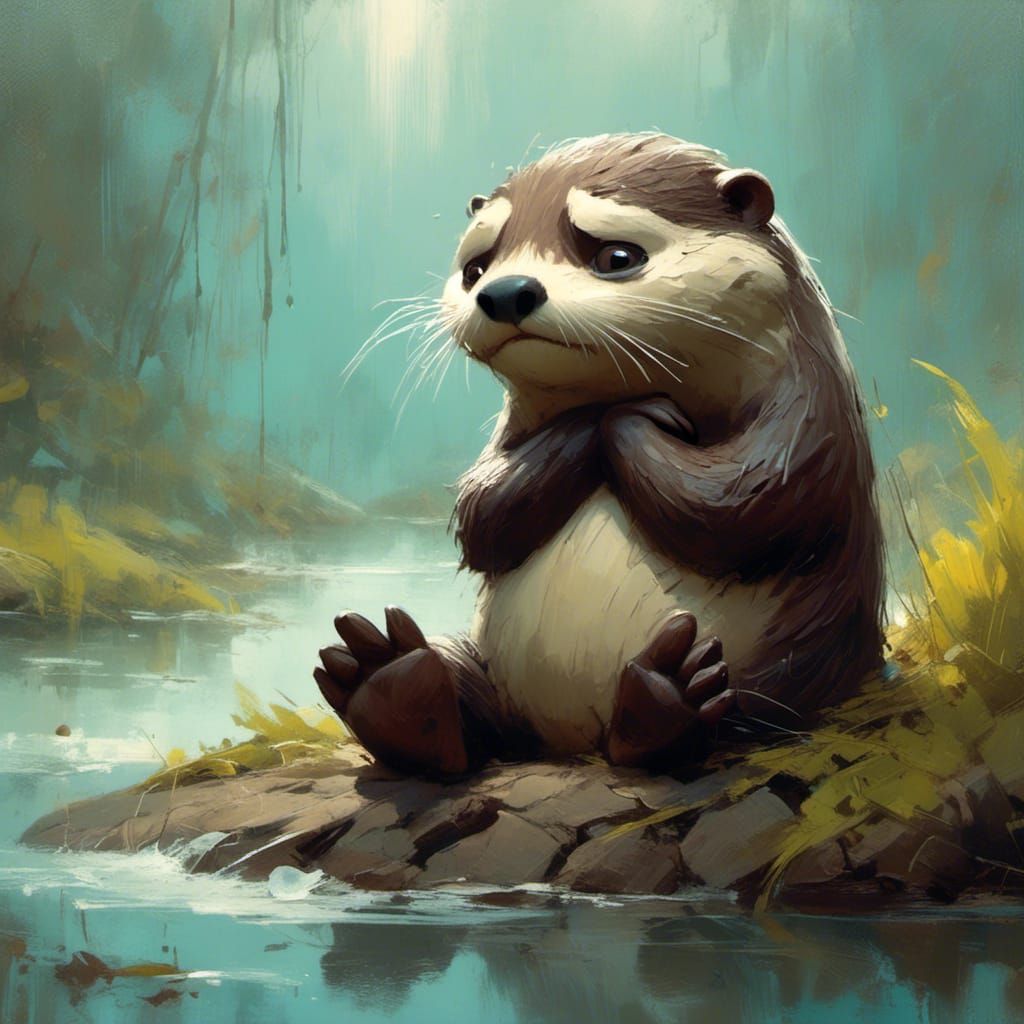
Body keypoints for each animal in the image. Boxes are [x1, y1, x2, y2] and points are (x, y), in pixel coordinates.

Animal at [314, 133, 884, 776]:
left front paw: (634, 418)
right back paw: (390, 683)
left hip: (794, 670)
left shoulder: (812, 413)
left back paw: (671, 699)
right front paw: (612, 416)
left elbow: (754, 505)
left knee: (737, 714)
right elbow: (482, 512)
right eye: (476, 267)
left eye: (615, 256)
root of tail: (575, 742)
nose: (504, 292)